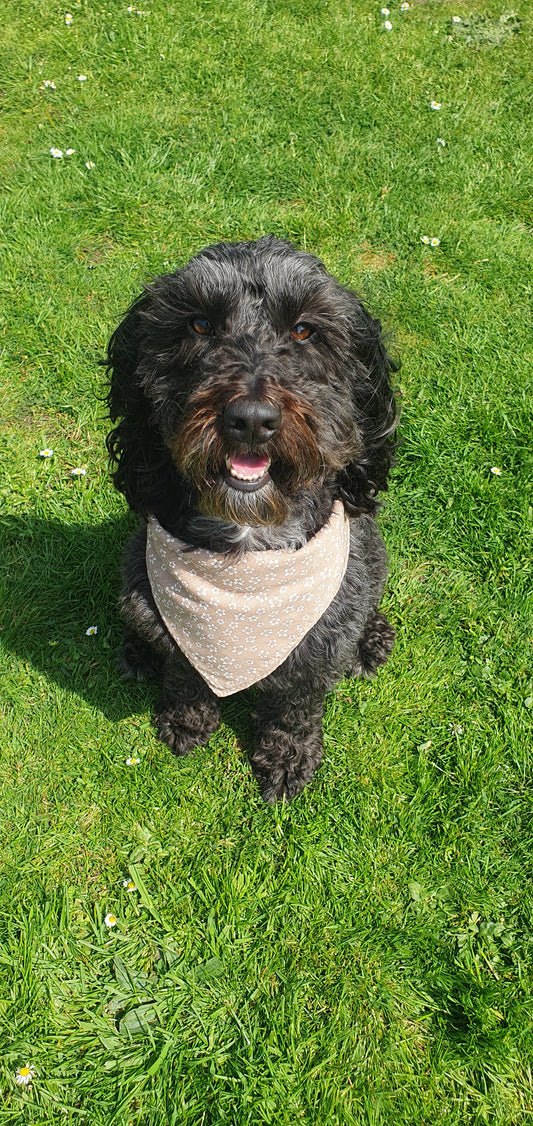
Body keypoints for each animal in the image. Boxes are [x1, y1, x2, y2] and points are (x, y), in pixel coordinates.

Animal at [103, 235, 396, 801]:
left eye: (304, 330)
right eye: (199, 324)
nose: (252, 420)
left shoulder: (319, 640)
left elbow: (296, 704)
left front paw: (287, 756)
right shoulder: (167, 621)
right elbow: (184, 673)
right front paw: (188, 720)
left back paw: (372, 640)